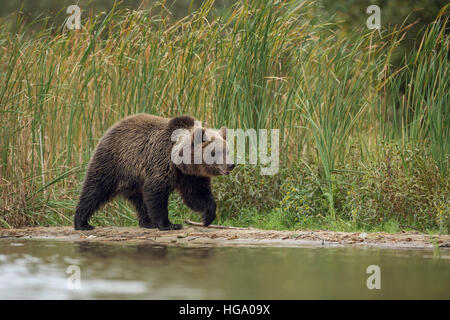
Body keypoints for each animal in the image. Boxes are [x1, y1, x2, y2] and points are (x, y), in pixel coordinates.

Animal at [74, 114, 234, 231]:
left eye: (227, 150)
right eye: (215, 152)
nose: (231, 165)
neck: (181, 162)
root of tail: (111, 128)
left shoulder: (190, 176)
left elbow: (196, 194)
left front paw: (207, 216)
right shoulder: (162, 162)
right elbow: (156, 192)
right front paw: (170, 224)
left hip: (135, 179)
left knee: (140, 201)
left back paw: (147, 222)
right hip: (114, 162)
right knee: (95, 190)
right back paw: (82, 223)